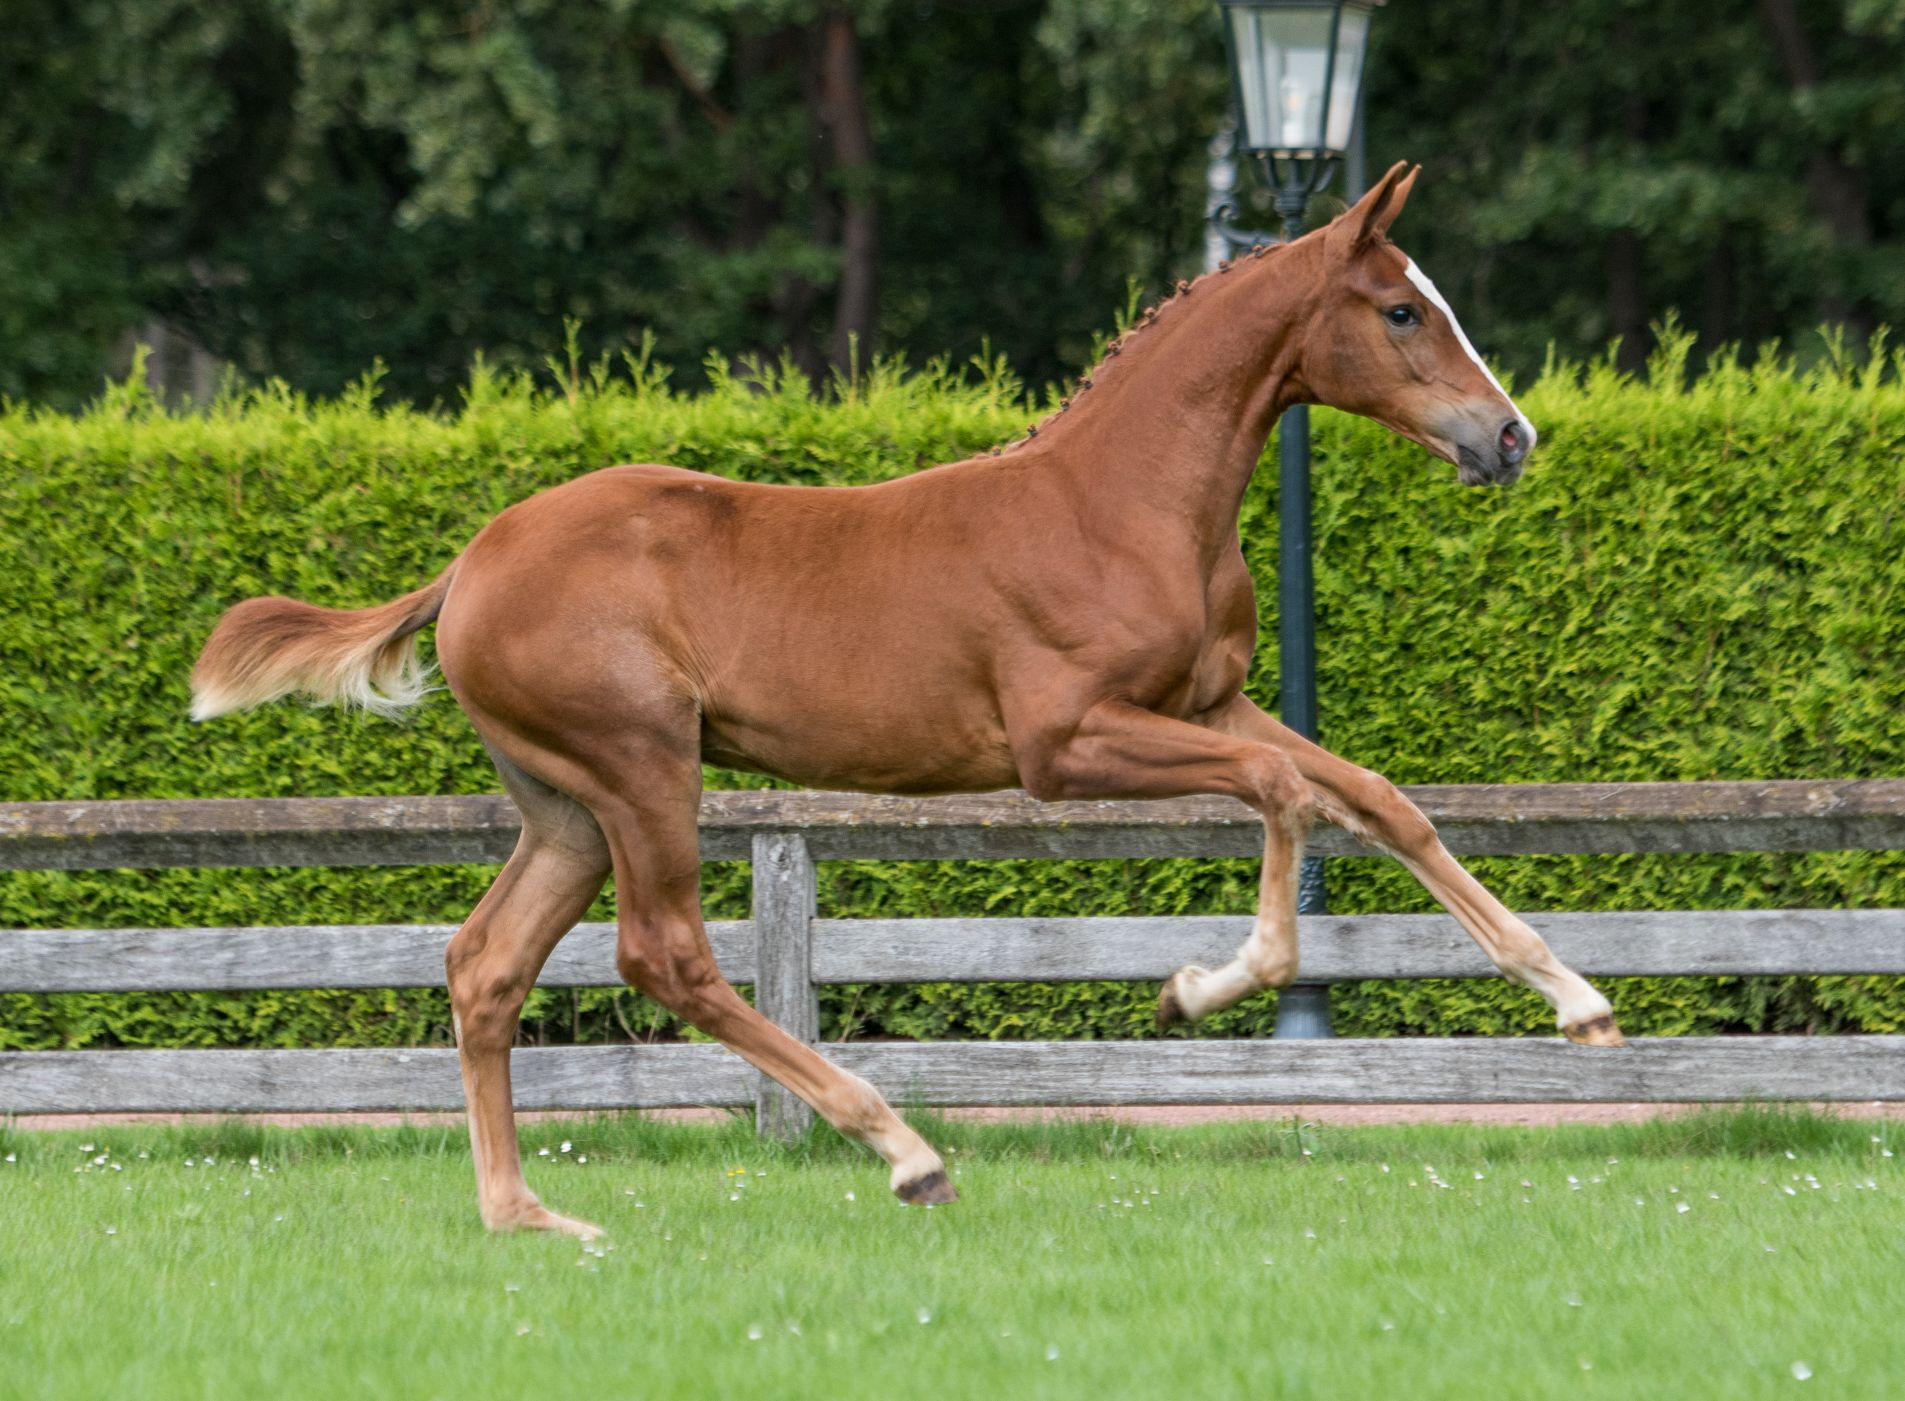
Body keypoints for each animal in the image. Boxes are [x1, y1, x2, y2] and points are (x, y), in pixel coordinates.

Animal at [191, 163, 1625, 1239]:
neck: (1123, 499)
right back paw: (904, 1149)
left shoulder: (1210, 705)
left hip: (564, 807)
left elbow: (1379, 800)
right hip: (642, 769)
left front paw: (1579, 1002)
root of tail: (469, 565)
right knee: (667, 954)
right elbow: (1285, 800)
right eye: (1399, 311)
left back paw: (527, 1215)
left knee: (485, 963)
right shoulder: (1066, 745)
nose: (1511, 437)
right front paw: (1195, 991)